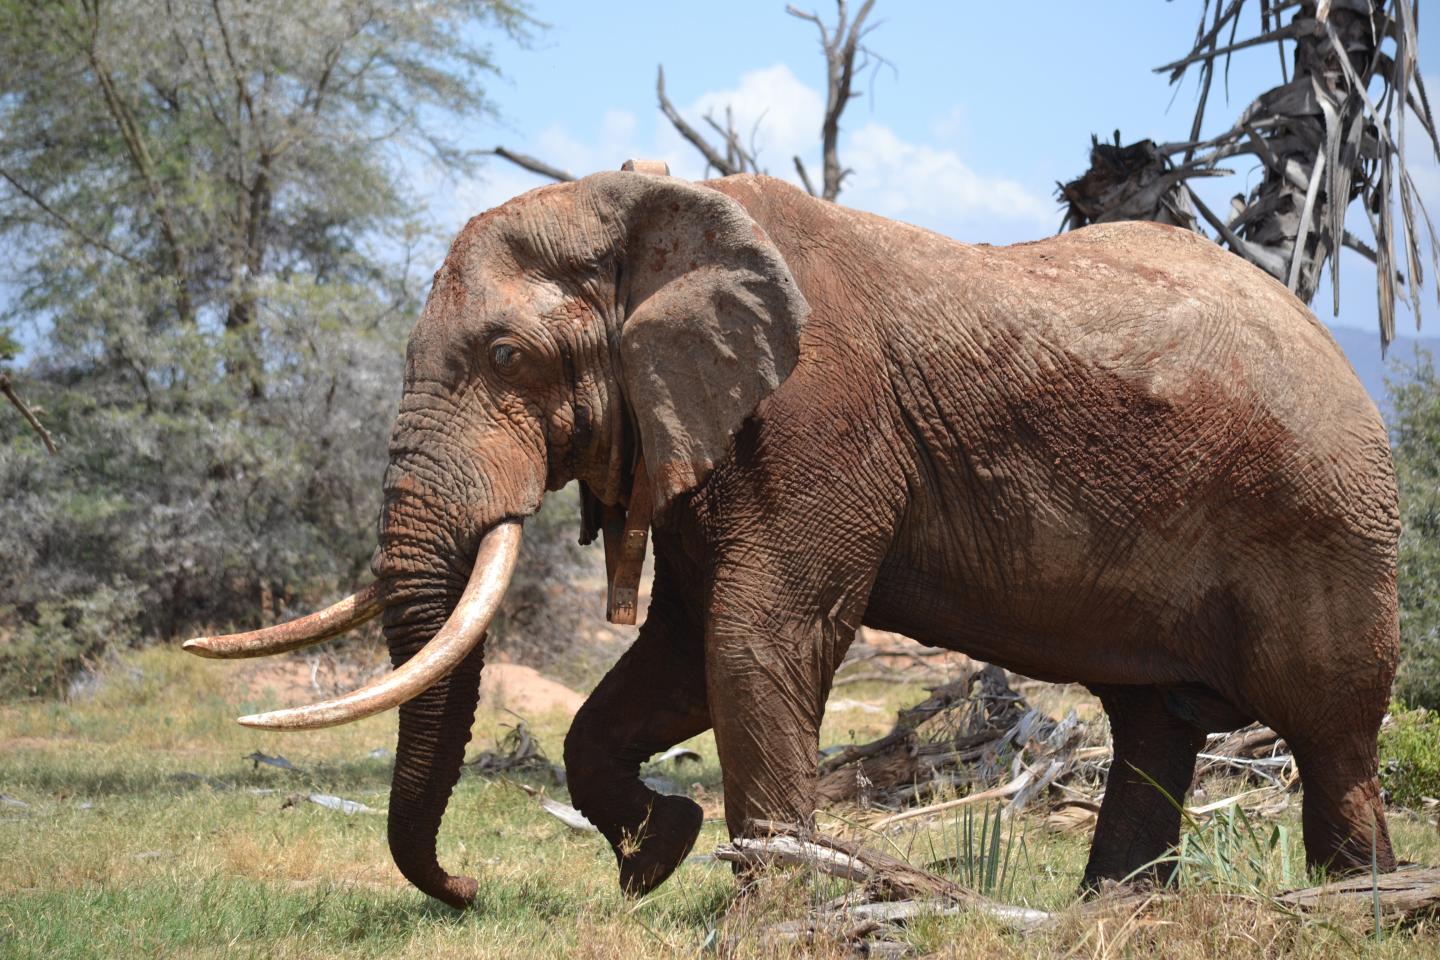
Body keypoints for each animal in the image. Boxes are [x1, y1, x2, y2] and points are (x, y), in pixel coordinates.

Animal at [185, 163, 1399, 909]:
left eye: (506, 358)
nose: (469, 892)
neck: (643, 205)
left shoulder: (817, 415)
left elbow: (753, 644)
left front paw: (756, 920)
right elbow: (676, 661)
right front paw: (661, 855)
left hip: (1327, 528)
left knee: (1332, 741)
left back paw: (1363, 905)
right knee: (1154, 727)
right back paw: (1115, 914)